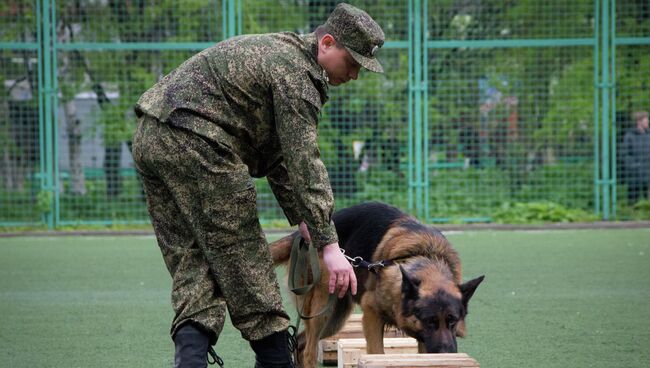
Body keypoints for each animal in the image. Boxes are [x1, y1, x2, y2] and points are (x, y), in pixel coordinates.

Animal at [268, 203, 480, 366]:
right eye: (430, 321)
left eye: (452, 321)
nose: (447, 353)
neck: (427, 257)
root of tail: (302, 234)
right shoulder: (371, 314)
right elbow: (378, 353)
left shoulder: (423, 339)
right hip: (323, 311)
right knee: (308, 352)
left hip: (334, 320)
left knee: (300, 342)